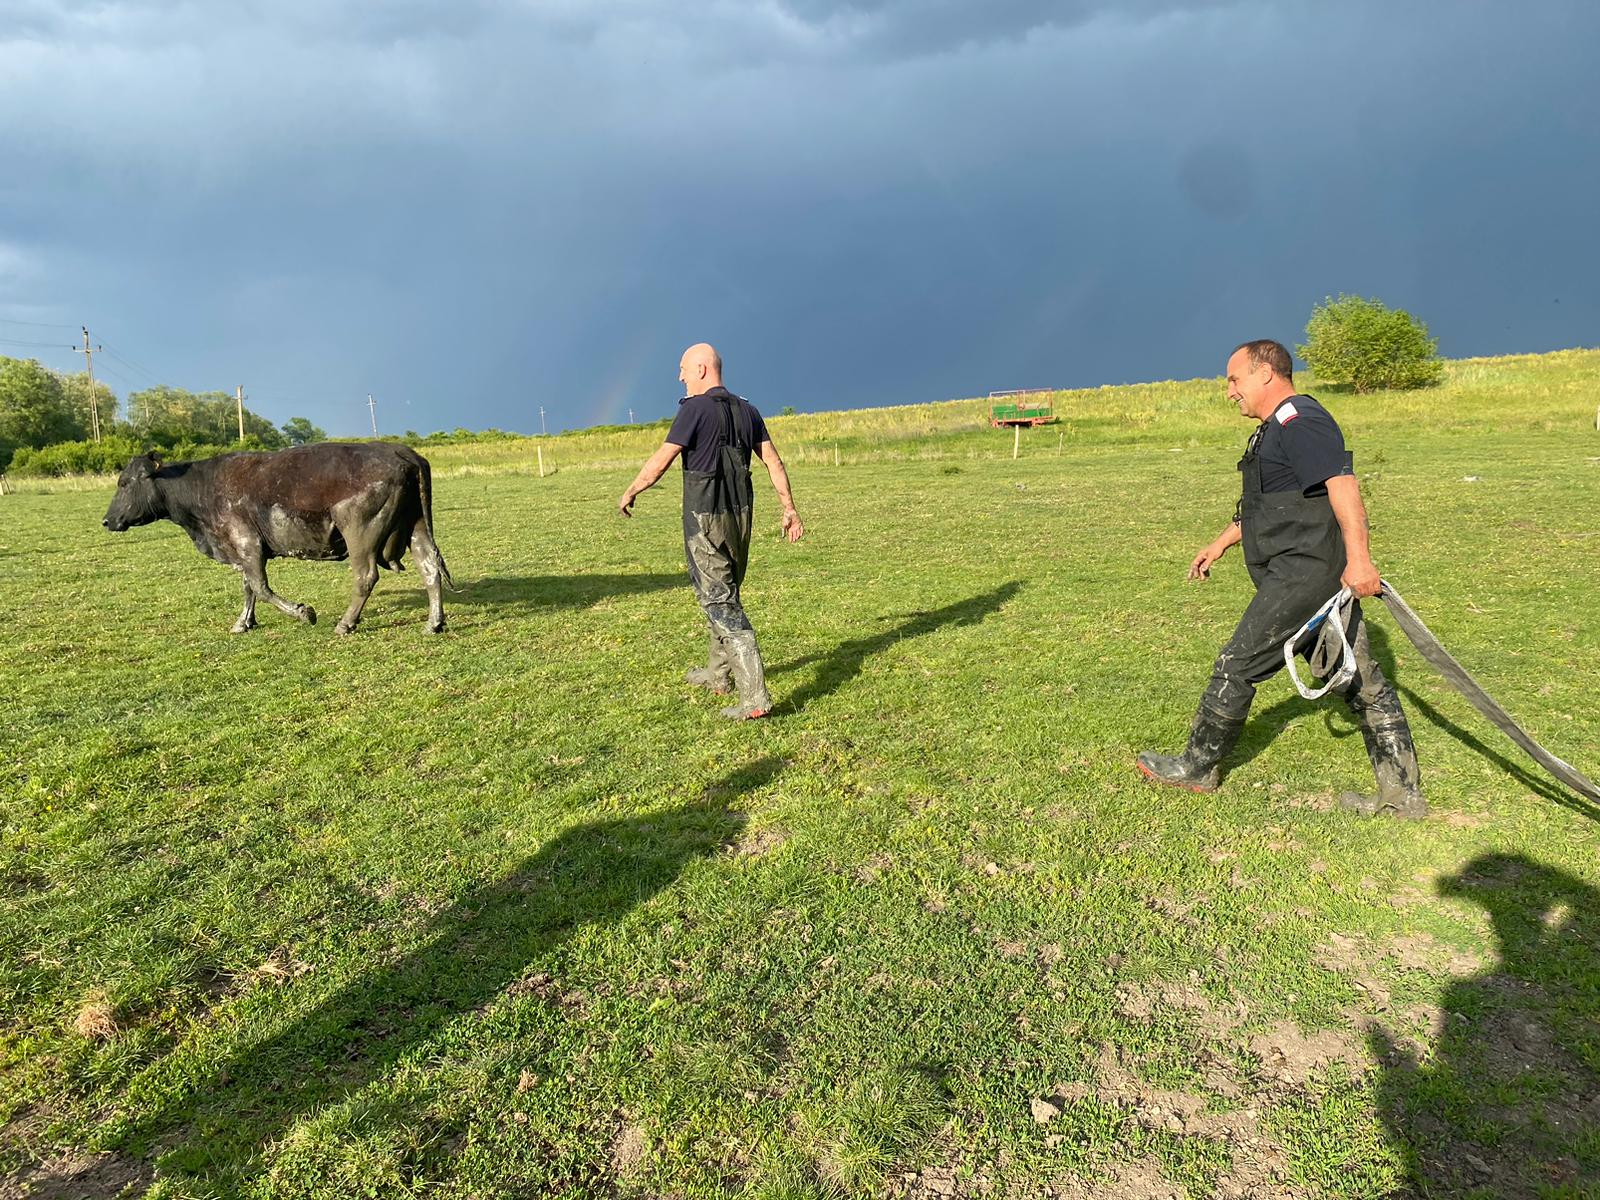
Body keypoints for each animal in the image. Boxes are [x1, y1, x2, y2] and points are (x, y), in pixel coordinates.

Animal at [103, 442, 455, 635]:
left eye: (125, 483)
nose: (107, 520)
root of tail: (398, 451)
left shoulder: (248, 543)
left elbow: (260, 587)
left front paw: (303, 612)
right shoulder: (241, 549)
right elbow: (248, 587)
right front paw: (243, 622)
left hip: (361, 534)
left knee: (366, 576)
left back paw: (345, 623)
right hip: (416, 528)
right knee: (430, 567)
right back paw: (433, 623)